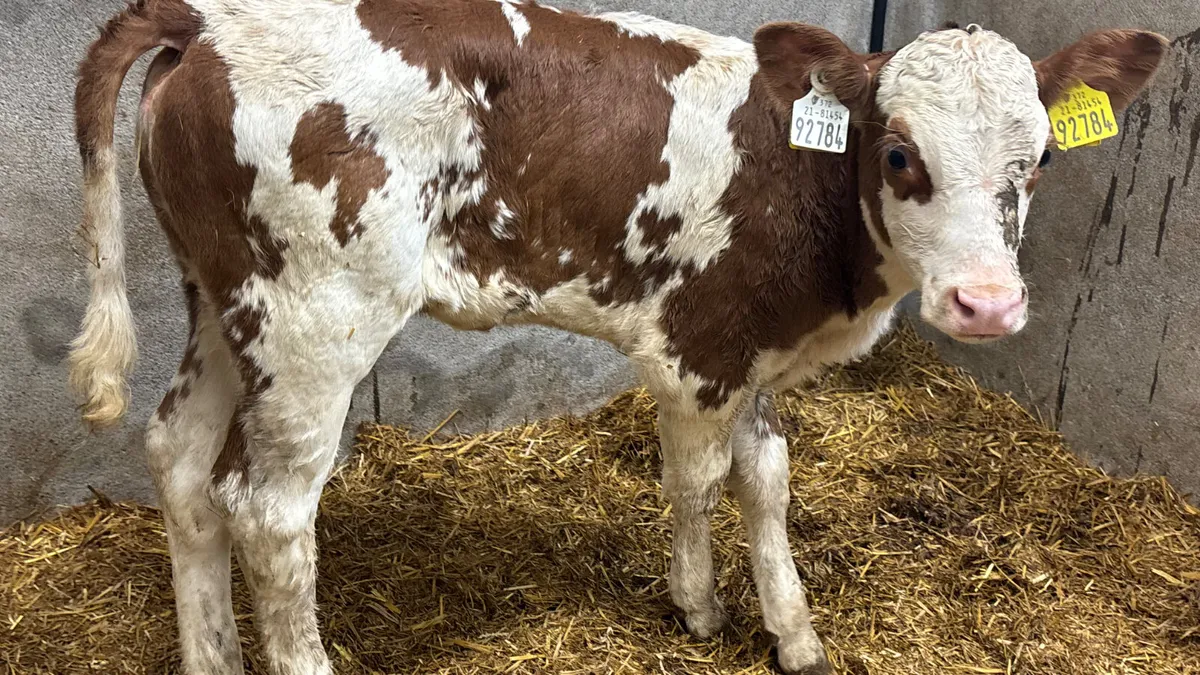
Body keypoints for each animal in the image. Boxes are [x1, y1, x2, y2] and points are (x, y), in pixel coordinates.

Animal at [68, 0, 1165, 672]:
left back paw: (210, 653)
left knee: (177, 455)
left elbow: (767, 479)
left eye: (1045, 157)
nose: (988, 304)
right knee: (268, 511)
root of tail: (207, 19)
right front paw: (698, 607)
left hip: (223, 300)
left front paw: (793, 631)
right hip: (316, 315)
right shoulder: (699, 345)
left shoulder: (758, 348)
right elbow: (699, 479)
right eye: (898, 154)